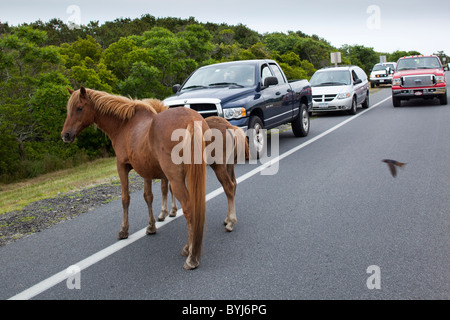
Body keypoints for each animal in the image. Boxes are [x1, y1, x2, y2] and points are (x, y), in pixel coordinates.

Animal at [62, 86, 209, 268]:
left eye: (79, 108)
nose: (65, 135)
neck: (124, 125)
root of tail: (190, 120)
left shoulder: (122, 167)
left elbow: (125, 198)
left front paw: (124, 230)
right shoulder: (145, 169)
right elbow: (148, 197)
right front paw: (151, 226)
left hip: (176, 178)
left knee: (189, 208)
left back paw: (191, 255)